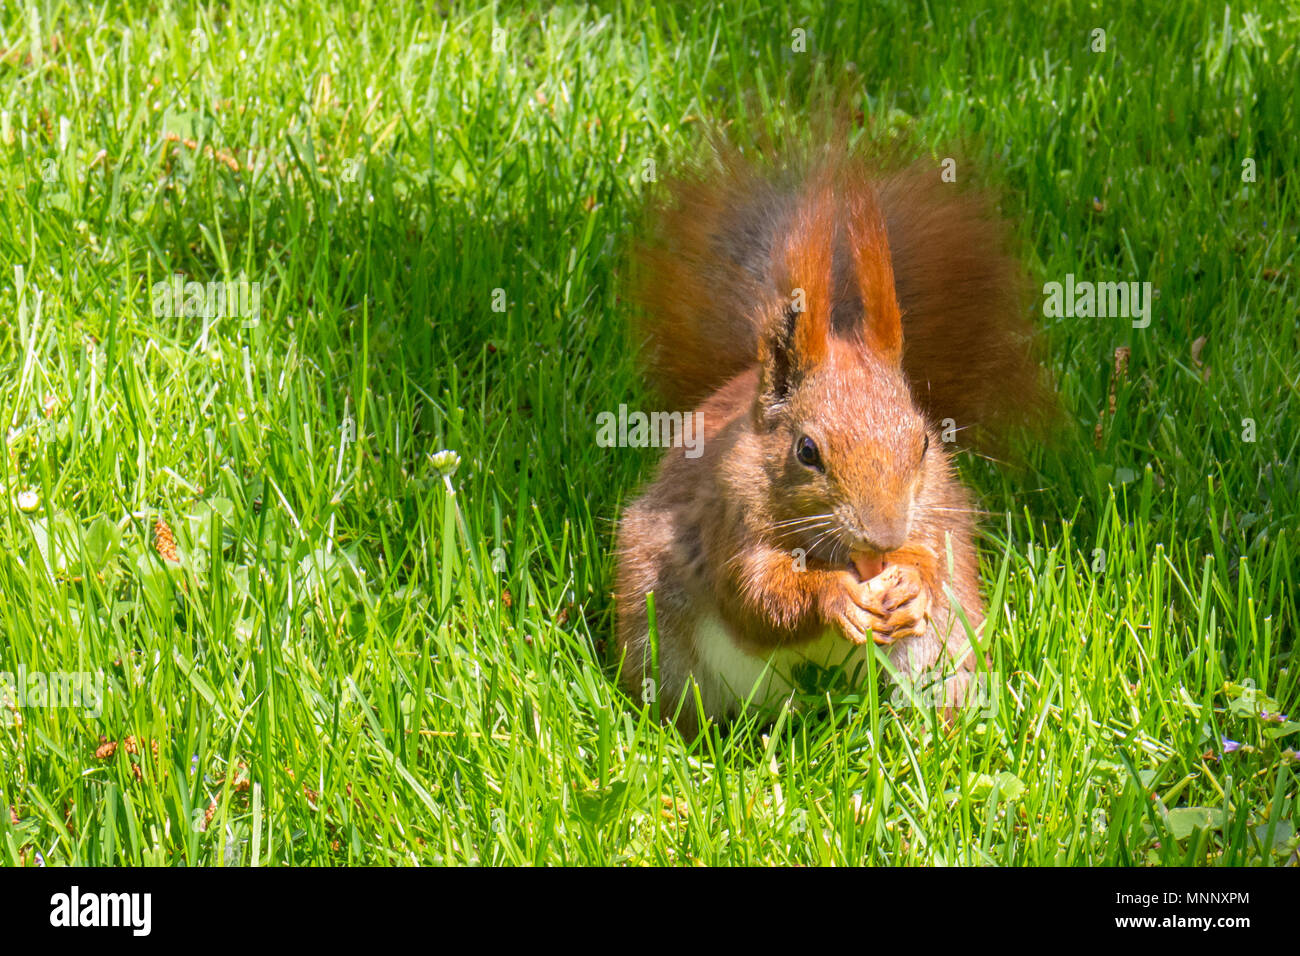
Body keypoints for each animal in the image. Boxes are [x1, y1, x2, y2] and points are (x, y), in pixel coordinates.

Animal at [613, 145, 1050, 738]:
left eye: (924, 444)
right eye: (806, 451)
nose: (885, 536)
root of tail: (804, 702)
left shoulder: (934, 507)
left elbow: (935, 556)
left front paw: (912, 581)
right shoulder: (728, 512)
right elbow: (755, 594)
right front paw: (835, 595)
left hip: (942, 652)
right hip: (664, 644)